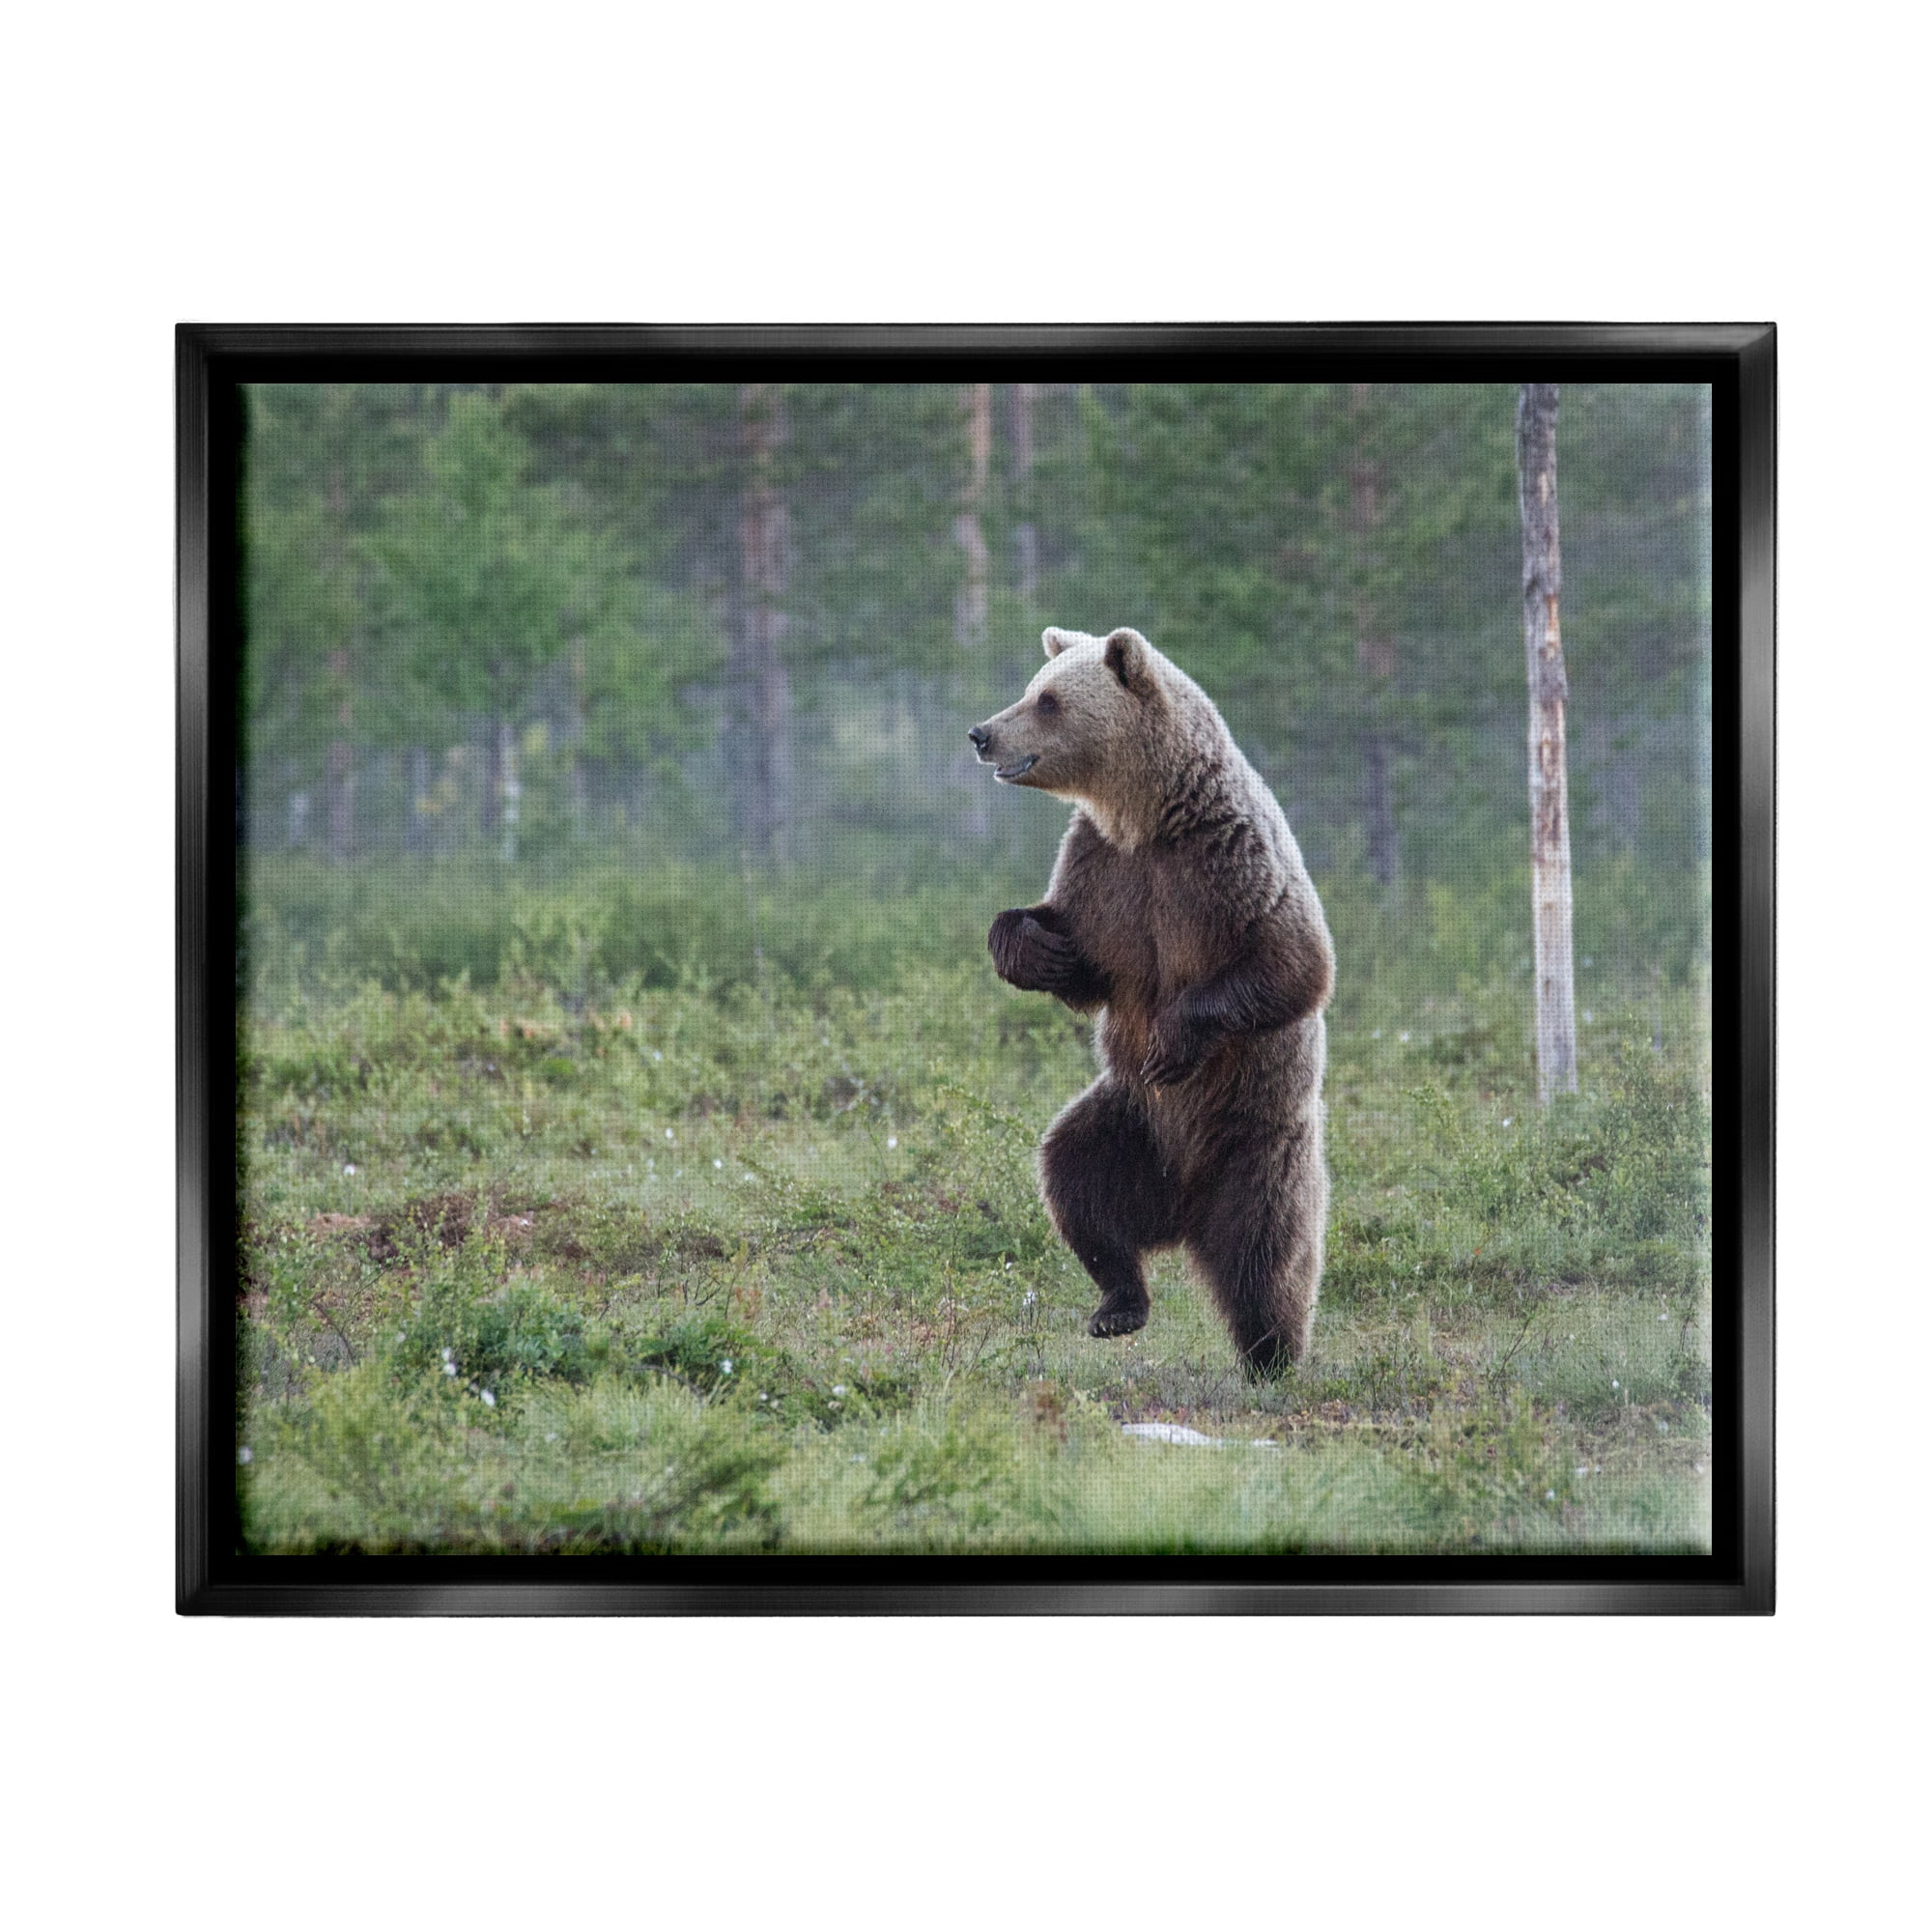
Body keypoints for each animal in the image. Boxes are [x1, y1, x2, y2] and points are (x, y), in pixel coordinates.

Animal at [969, 625, 1335, 1375]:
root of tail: (1183, 1213)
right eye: (1033, 688)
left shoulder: (1227, 862)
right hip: (1129, 1123)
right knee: (1074, 1179)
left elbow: (1294, 963)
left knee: (1268, 1255)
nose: (982, 733)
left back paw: (1273, 1357)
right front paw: (1033, 947)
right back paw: (1118, 1304)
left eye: (1047, 700)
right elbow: (1084, 960)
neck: (1147, 818)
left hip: (1256, 1142)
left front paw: (1174, 1039)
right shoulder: (1102, 872)